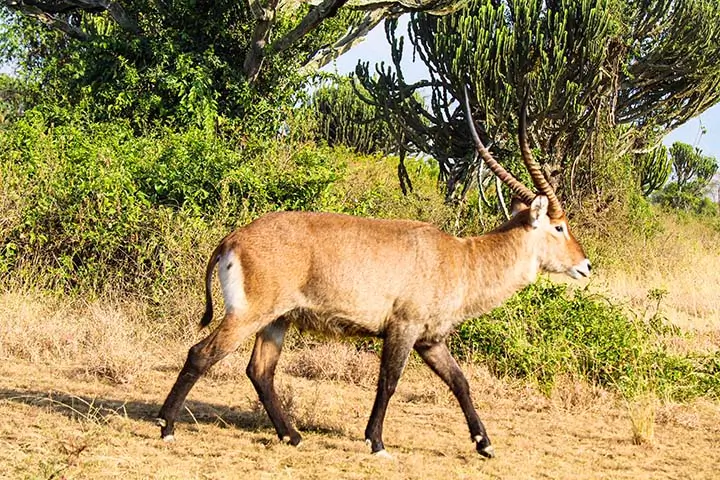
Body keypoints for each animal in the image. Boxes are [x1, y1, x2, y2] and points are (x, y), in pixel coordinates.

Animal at [156, 90, 592, 458]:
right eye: (559, 226)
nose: (585, 266)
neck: (461, 257)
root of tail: (233, 237)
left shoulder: (430, 340)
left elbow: (460, 381)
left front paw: (484, 445)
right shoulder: (403, 328)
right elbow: (389, 381)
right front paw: (377, 442)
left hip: (277, 321)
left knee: (259, 371)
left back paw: (292, 436)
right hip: (249, 315)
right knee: (202, 354)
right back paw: (167, 426)